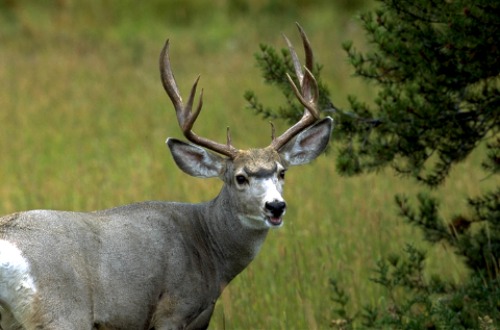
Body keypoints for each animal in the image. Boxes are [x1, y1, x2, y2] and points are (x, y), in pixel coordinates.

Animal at [1, 24, 334, 328]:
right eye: (240, 177)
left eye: (282, 172)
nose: (275, 206)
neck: (207, 246)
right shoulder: (173, 309)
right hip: (62, 312)